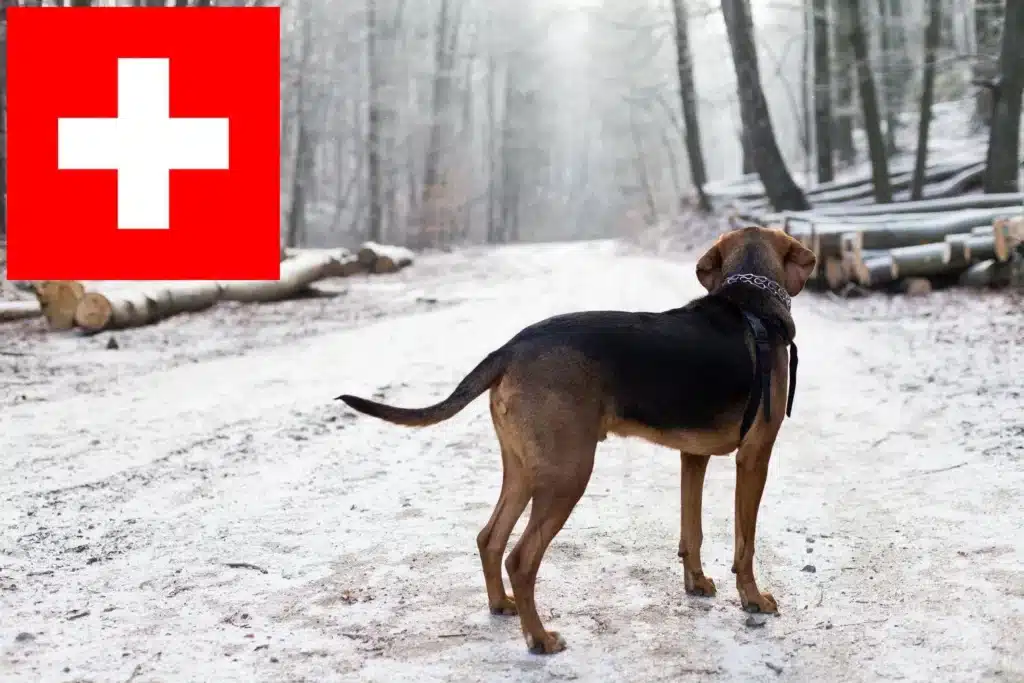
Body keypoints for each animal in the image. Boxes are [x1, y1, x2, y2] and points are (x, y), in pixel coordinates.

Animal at [335, 225, 815, 655]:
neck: (751, 305)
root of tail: (510, 349)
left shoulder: (691, 456)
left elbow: (690, 531)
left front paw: (696, 583)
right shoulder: (754, 457)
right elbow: (745, 543)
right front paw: (753, 599)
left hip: (525, 469)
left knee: (490, 538)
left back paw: (502, 605)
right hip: (568, 474)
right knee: (520, 559)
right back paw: (541, 640)